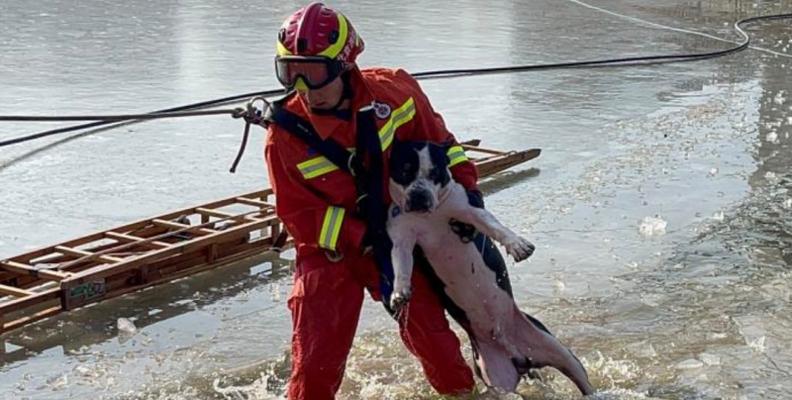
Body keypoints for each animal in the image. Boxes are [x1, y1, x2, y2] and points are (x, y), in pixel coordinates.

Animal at [386, 140, 592, 394]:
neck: (430, 217)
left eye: (435, 172)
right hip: (496, 377)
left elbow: (495, 227)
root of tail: (519, 357)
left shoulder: (469, 211)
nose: (418, 195)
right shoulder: (402, 238)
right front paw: (399, 293)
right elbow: (402, 266)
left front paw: (518, 245)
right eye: (405, 170)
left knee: (583, 380)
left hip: (560, 351)